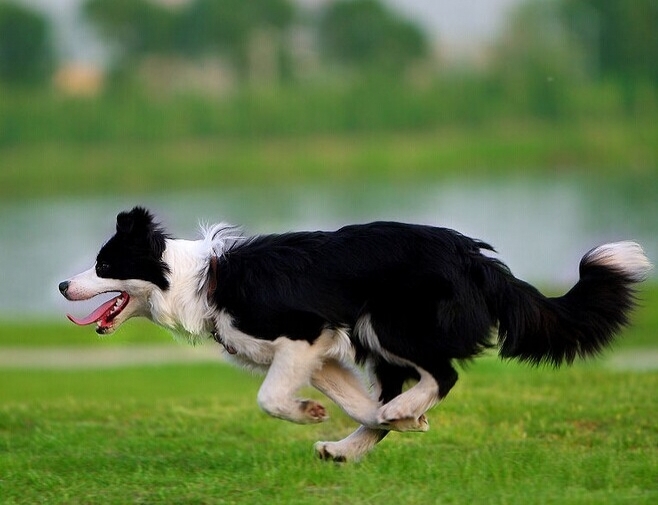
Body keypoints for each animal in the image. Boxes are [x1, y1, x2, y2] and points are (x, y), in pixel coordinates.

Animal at [59, 206, 648, 460]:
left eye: (104, 264)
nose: (63, 284)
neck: (196, 278)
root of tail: (477, 259)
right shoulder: (321, 355)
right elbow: (355, 403)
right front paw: (402, 423)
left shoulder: (302, 332)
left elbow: (269, 397)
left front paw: (309, 412)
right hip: (376, 339)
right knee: (392, 396)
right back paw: (351, 446)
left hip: (387, 324)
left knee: (444, 373)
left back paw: (397, 411)